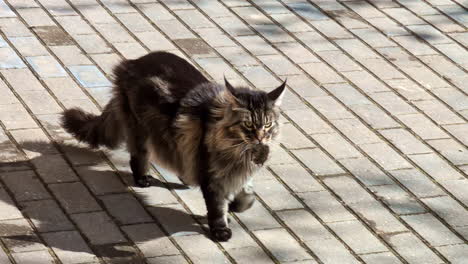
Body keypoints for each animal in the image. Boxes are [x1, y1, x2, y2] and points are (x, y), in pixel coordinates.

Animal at [61, 51, 286, 241]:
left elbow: (247, 198)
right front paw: (220, 228)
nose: (261, 138)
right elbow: (217, 207)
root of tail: (132, 62)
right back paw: (142, 178)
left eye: (267, 124)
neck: (240, 151)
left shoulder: (239, 173)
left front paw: (234, 206)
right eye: (248, 124)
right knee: (138, 156)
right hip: (141, 130)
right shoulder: (212, 176)